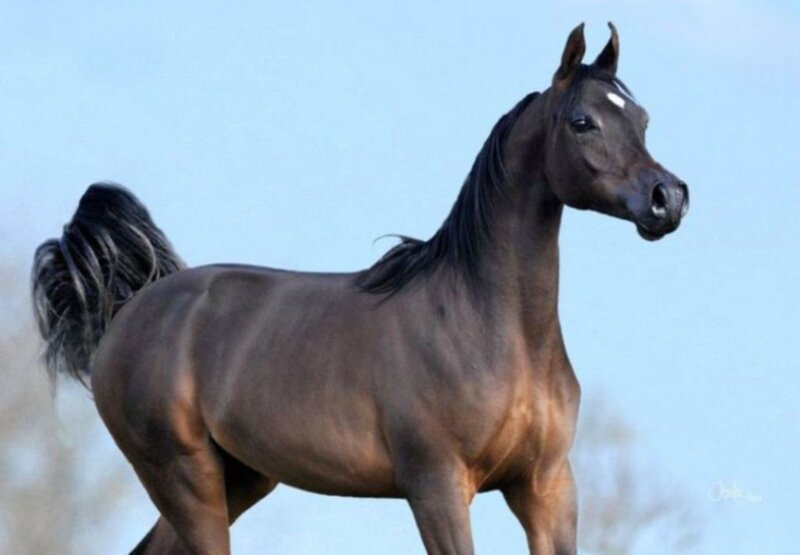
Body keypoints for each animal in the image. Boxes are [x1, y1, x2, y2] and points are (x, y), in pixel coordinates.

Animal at [32, 23, 688, 555]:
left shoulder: (545, 486)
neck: (488, 325)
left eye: (642, 119)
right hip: (184, 478)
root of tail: (132, 309)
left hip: (238, 478)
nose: (668, 199)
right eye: (583, 122)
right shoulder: (436, 486)